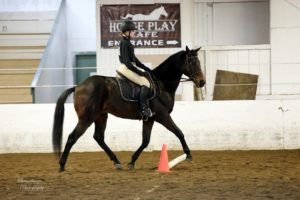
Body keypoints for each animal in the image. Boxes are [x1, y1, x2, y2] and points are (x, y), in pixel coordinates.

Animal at [52, 45, 205, 172]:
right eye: (192, 62)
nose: (202, 82)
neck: (162, 84)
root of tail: (78, 87)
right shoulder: (163, 116)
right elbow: (179, 132)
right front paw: (188, 155)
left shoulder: (149, 119)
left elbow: (145, 141)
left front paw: (132, 162)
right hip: (87, 118)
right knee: (72, 137)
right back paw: (61, 165)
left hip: (101, 116)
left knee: (99, 137)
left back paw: (117, 162)